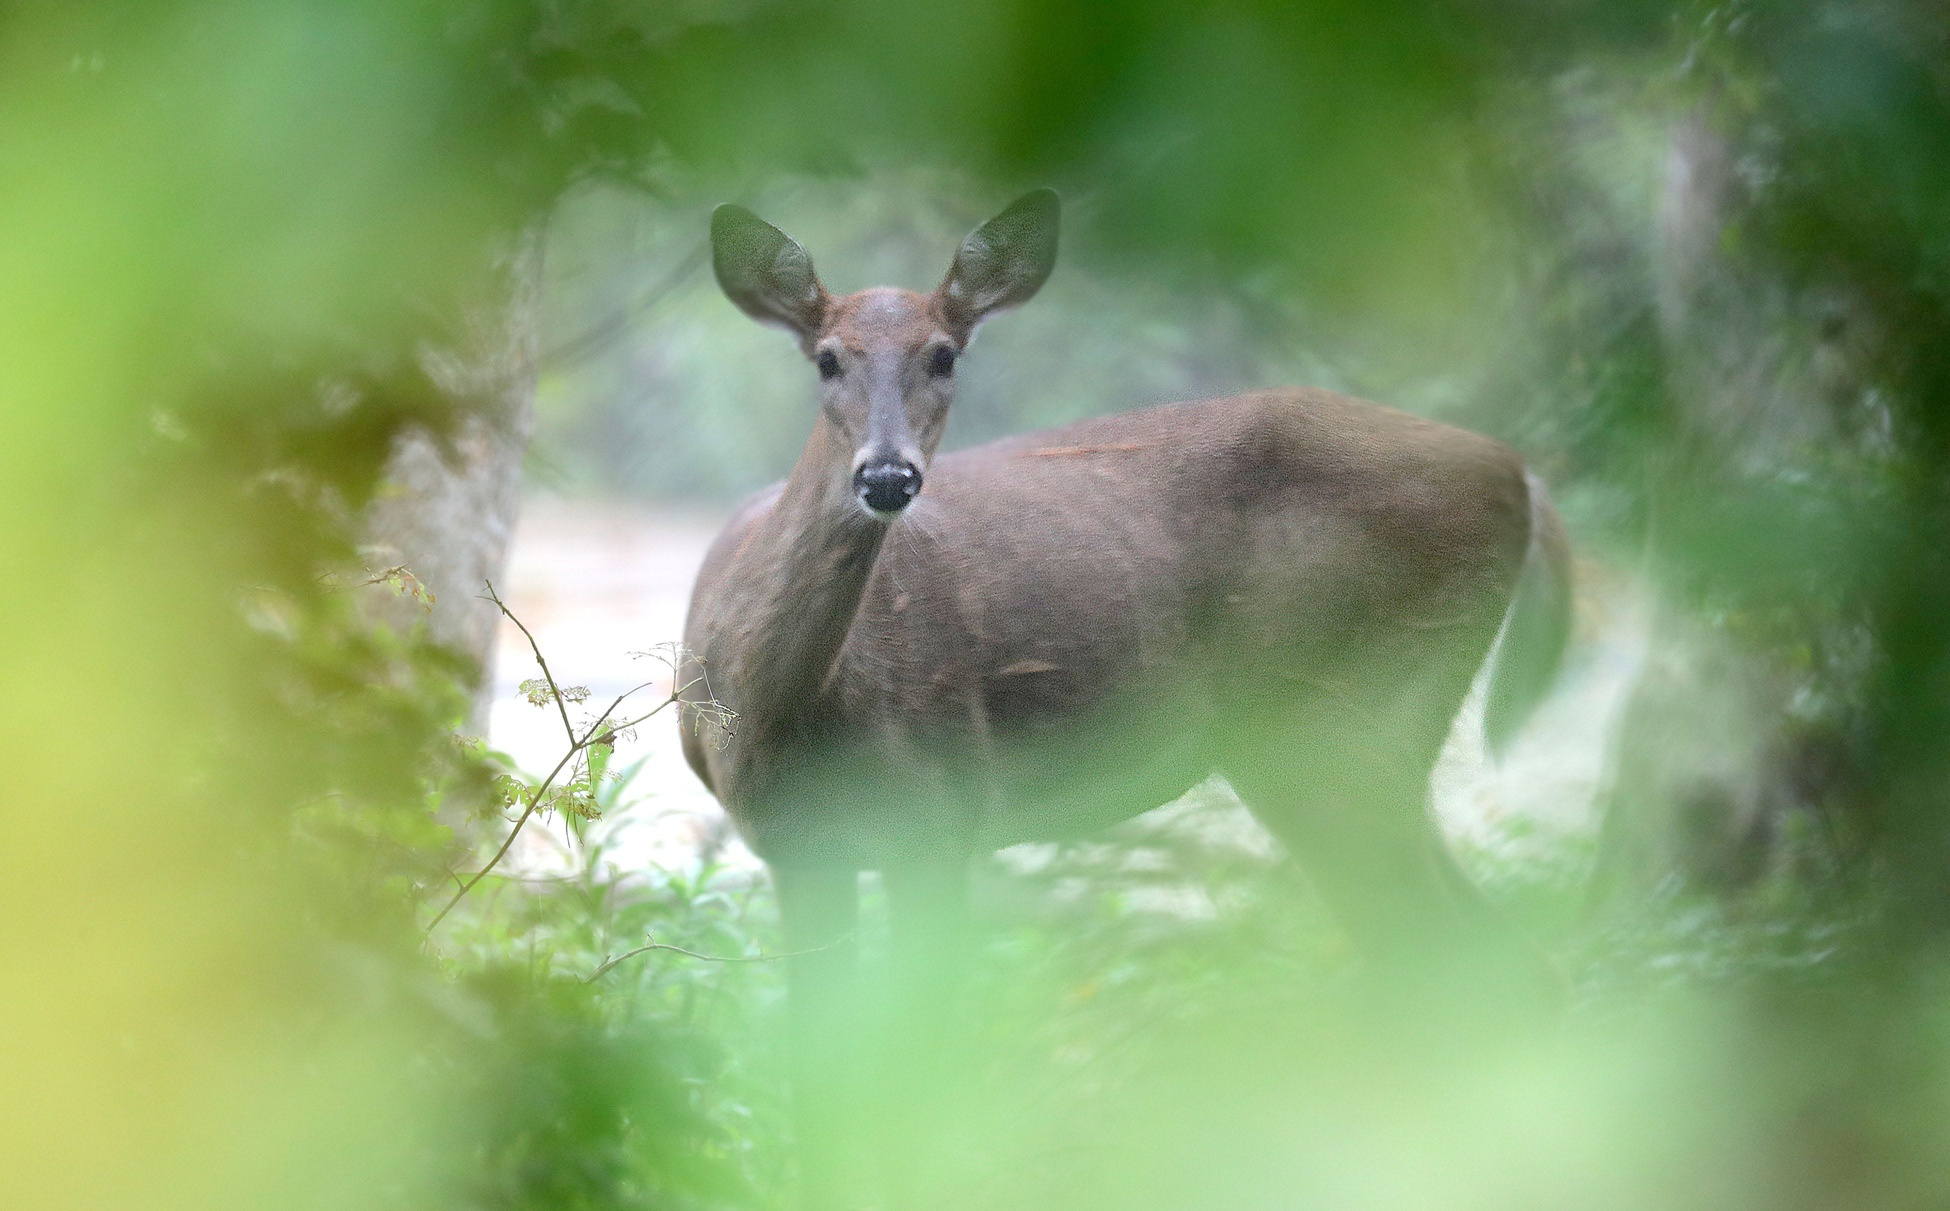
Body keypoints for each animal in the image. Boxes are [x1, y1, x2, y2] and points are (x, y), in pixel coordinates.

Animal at [678, 189, 1575, 1201]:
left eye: (945, 353)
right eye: (827, 357)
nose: (888, 475)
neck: (788, 712)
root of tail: (1519, 475)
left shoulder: (942, 817)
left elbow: (919, 1086)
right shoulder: (796, 848)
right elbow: (816, 1087)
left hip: (1339, 729)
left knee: (1460, 972)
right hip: (1359, 748)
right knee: (1497, 972)